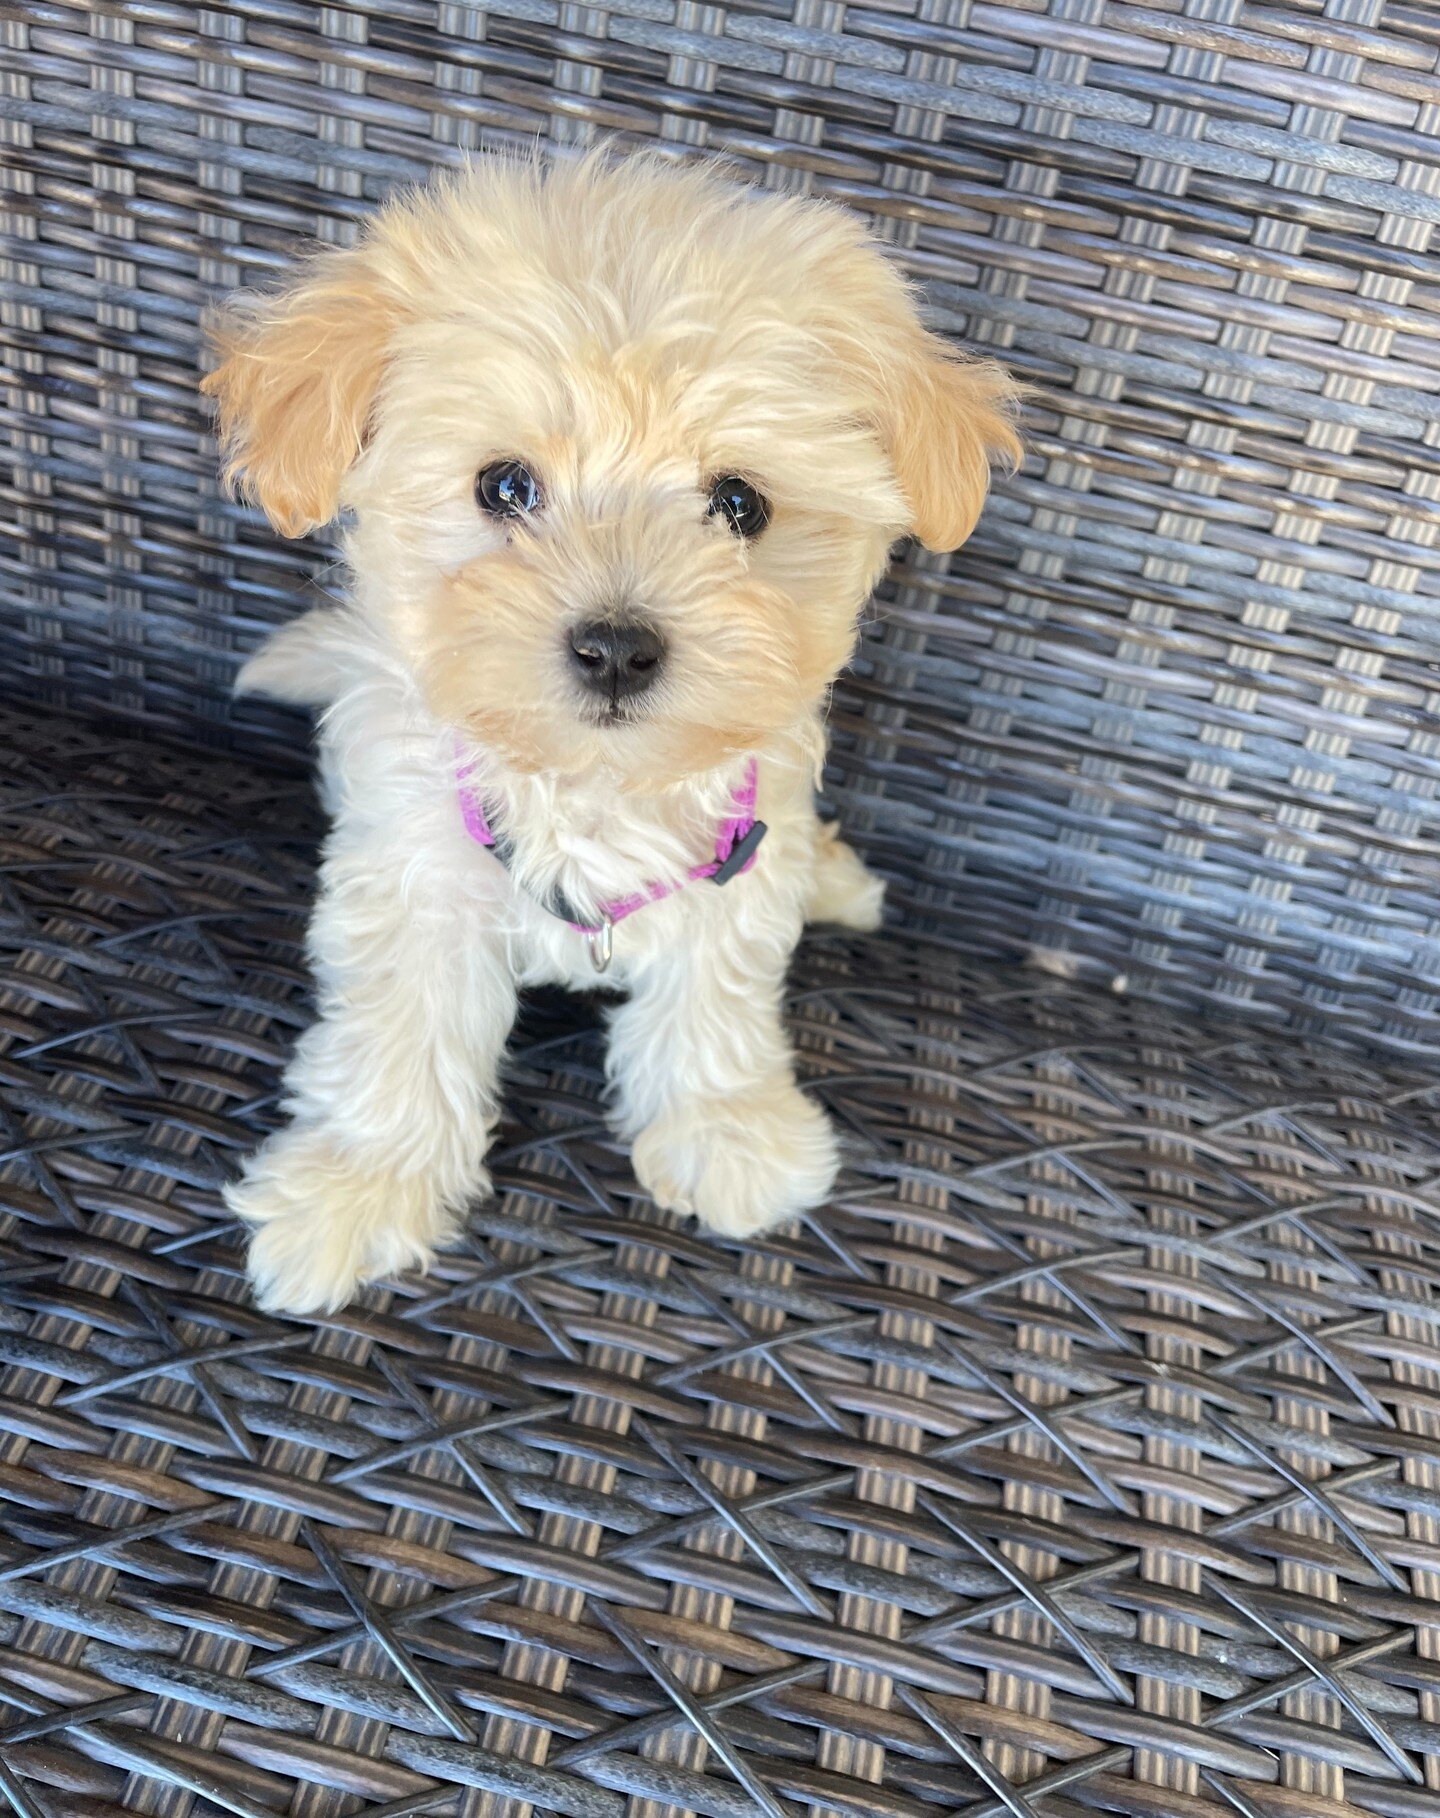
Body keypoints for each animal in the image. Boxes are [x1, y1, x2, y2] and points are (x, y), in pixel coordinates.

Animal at [205, 141, 1025, 1308]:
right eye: (505, 486)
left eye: (739, 504)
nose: (617, 649)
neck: (591, 783)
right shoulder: (413, 883)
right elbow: (400, 1036)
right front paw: (359, 1188)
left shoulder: (740, 855)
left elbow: (715, 1008)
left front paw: (729, 1136)